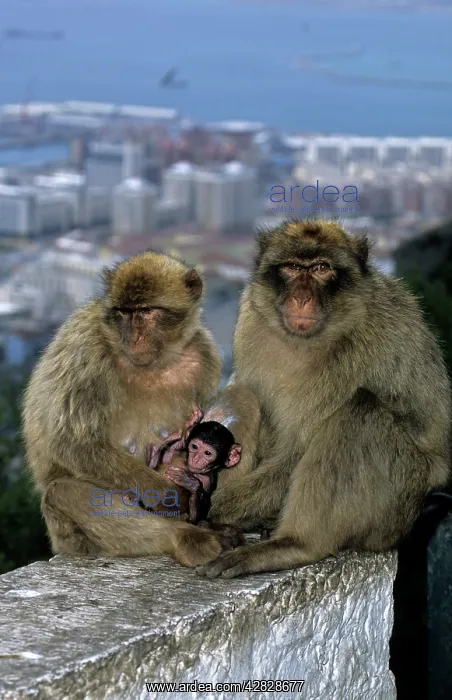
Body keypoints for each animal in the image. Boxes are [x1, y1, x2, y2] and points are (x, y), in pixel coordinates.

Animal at [22, 249, 244, 567]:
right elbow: (73, 443)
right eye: (124, 313)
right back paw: (184, 536)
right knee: (62, 492)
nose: (133, 337)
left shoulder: (205, 353)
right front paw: (168, 495)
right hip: (66, 535)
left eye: (147, 311)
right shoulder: (85, 349)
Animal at [195, 219, 451, 579]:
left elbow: (296, 453)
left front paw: (205, 507)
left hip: (395, 505)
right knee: (244, 393)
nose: (301, 298)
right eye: (291, 268)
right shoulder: (251, 316)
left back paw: (294, 545)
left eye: (320, 269)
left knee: (361, 411)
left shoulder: (355, 352)